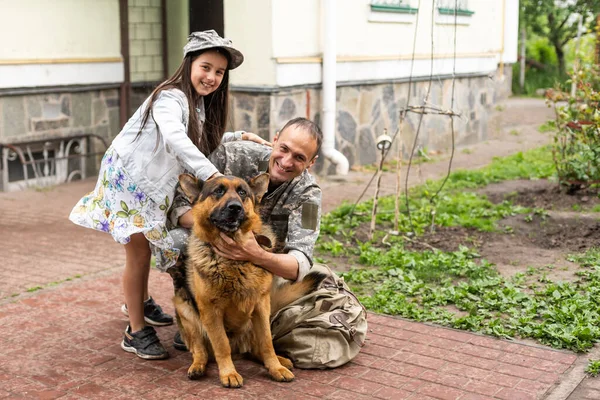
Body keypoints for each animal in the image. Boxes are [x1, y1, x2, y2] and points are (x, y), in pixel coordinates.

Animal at [170, 174, 324, 388]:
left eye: (242, 192)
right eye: (218, 191)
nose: (235, 207)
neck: (233, 262)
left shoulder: (261, 305)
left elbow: (267, 343)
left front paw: (275, 369)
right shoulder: (210, 310)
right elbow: (221, 345)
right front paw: (229, 373)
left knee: (257, 349)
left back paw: (280, 362)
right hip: (185, 308)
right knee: (200, 350)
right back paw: (198, 367)